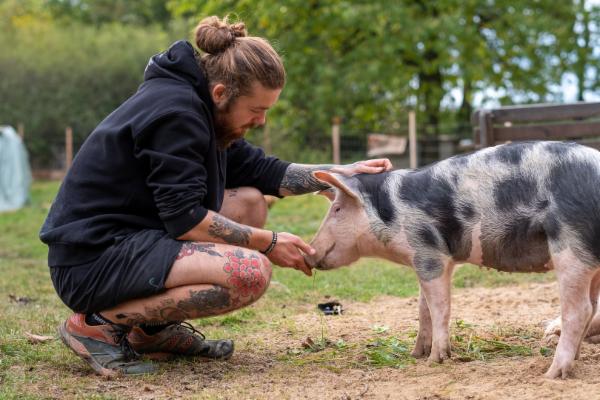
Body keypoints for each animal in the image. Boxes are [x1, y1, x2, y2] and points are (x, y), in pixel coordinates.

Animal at [305, 141, 600, 379]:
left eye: (337, 209)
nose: (309, 252)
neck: (392, 213)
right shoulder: (433, 259)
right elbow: (423, 308)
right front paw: (416, 354)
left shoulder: (429, 251)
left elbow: (440, 307)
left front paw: (435, 360)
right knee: (591, 307)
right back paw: (572, 361)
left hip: (570, 247)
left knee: (578, 310)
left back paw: (552, 374)